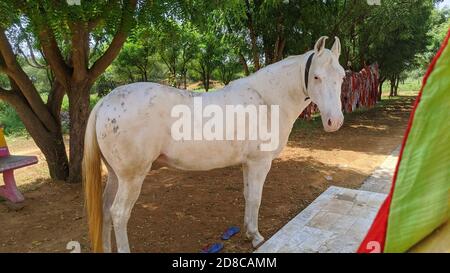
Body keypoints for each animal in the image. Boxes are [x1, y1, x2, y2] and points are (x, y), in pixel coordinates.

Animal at [83, 35, 344, 251]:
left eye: (342, 77)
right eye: (317, 77)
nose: (335, 121)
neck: (267, 100)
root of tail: (105, 101)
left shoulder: (248, 163)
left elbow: (248, 195)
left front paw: (249, 232)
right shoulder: (259, 163)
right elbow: (256, 198)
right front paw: (257, 237)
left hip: (116, 175)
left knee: (106, 211)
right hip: (132, 178)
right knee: (119, 214)